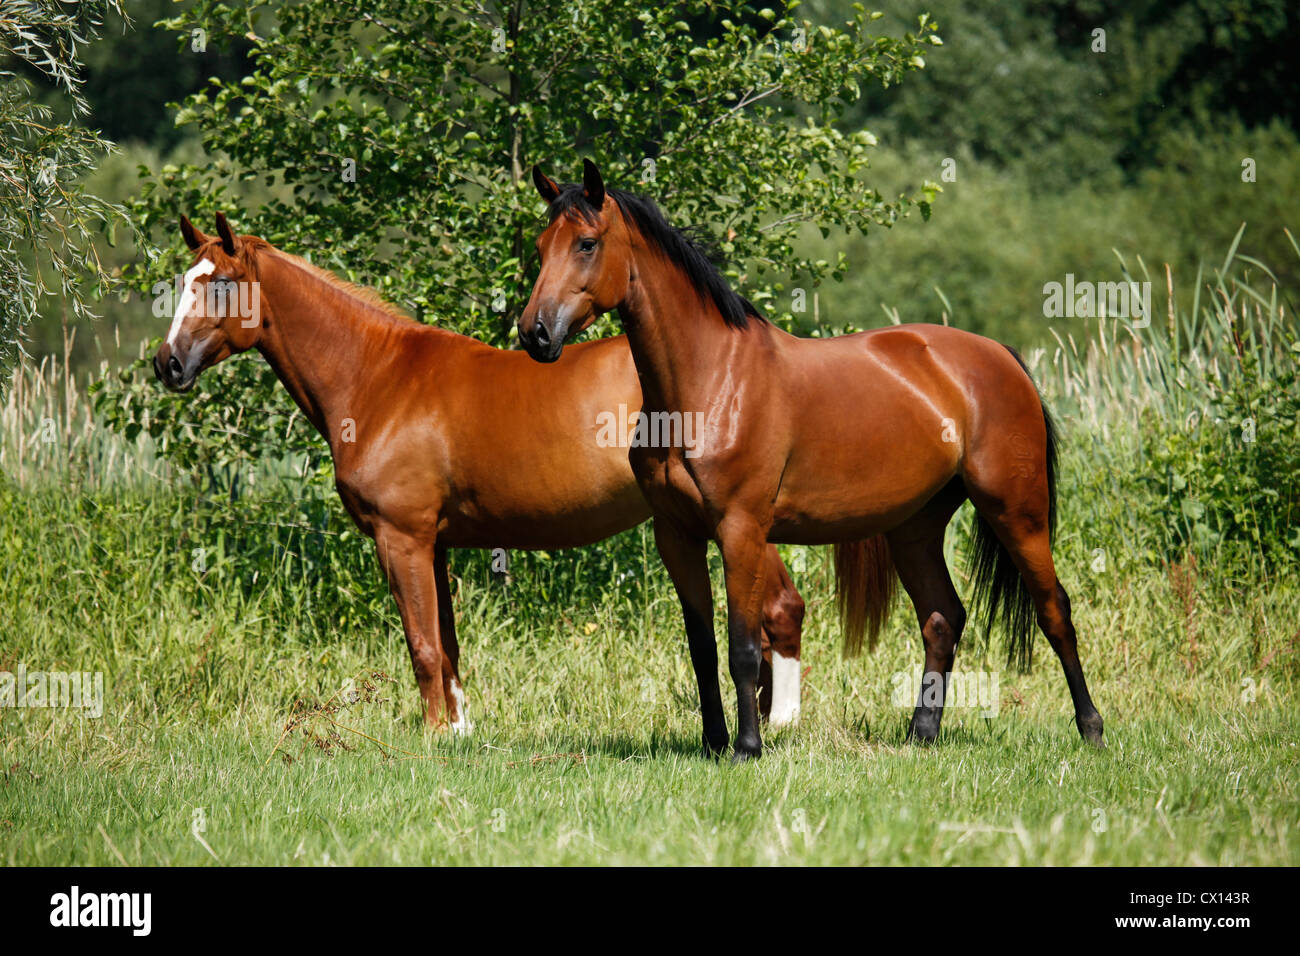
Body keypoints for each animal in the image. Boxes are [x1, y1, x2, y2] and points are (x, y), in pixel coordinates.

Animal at [152, 214, 806, 731]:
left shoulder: (401, 538)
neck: (376, 376)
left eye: (222, 285)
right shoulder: (433, 543)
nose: (168, 364)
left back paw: (777, 725)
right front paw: (459, 732)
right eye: (183, 282)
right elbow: (447, 645)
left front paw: (431, 737)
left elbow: (421, 646)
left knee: (779, 608)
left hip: (733, 519)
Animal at [517, 161, 1104, 762]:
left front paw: (747, 747)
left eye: (587, 243)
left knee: (1055, 610)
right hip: (915, 526)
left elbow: (743, 646)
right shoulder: (676, 534)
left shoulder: (741, 531)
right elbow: (703, 648)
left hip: (1017, 512)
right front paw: (713, 743)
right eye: (541, 245)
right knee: (943, 618)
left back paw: (1091, 728)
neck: (710, 380)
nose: (534, 333)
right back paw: (921, 734)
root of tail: (999, 355)